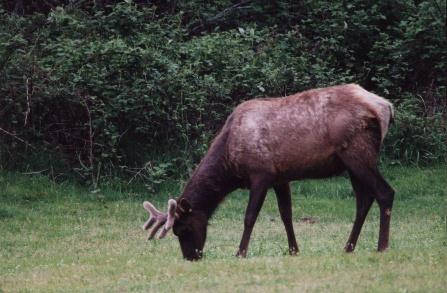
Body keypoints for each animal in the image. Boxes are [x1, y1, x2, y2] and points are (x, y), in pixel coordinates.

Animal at [143, 84, 396, 260]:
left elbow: (250, 216)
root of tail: (386, 107)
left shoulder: (261, 173)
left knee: (385, 192)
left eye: (183, 228)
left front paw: (240, 252)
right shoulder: (280, 178)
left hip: (358, 153)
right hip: (351, 163)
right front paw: (294, 250)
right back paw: (348, 247)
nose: (191, 257)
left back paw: (382, 246)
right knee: (364, 199)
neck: (230, 163)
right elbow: (286, 214)